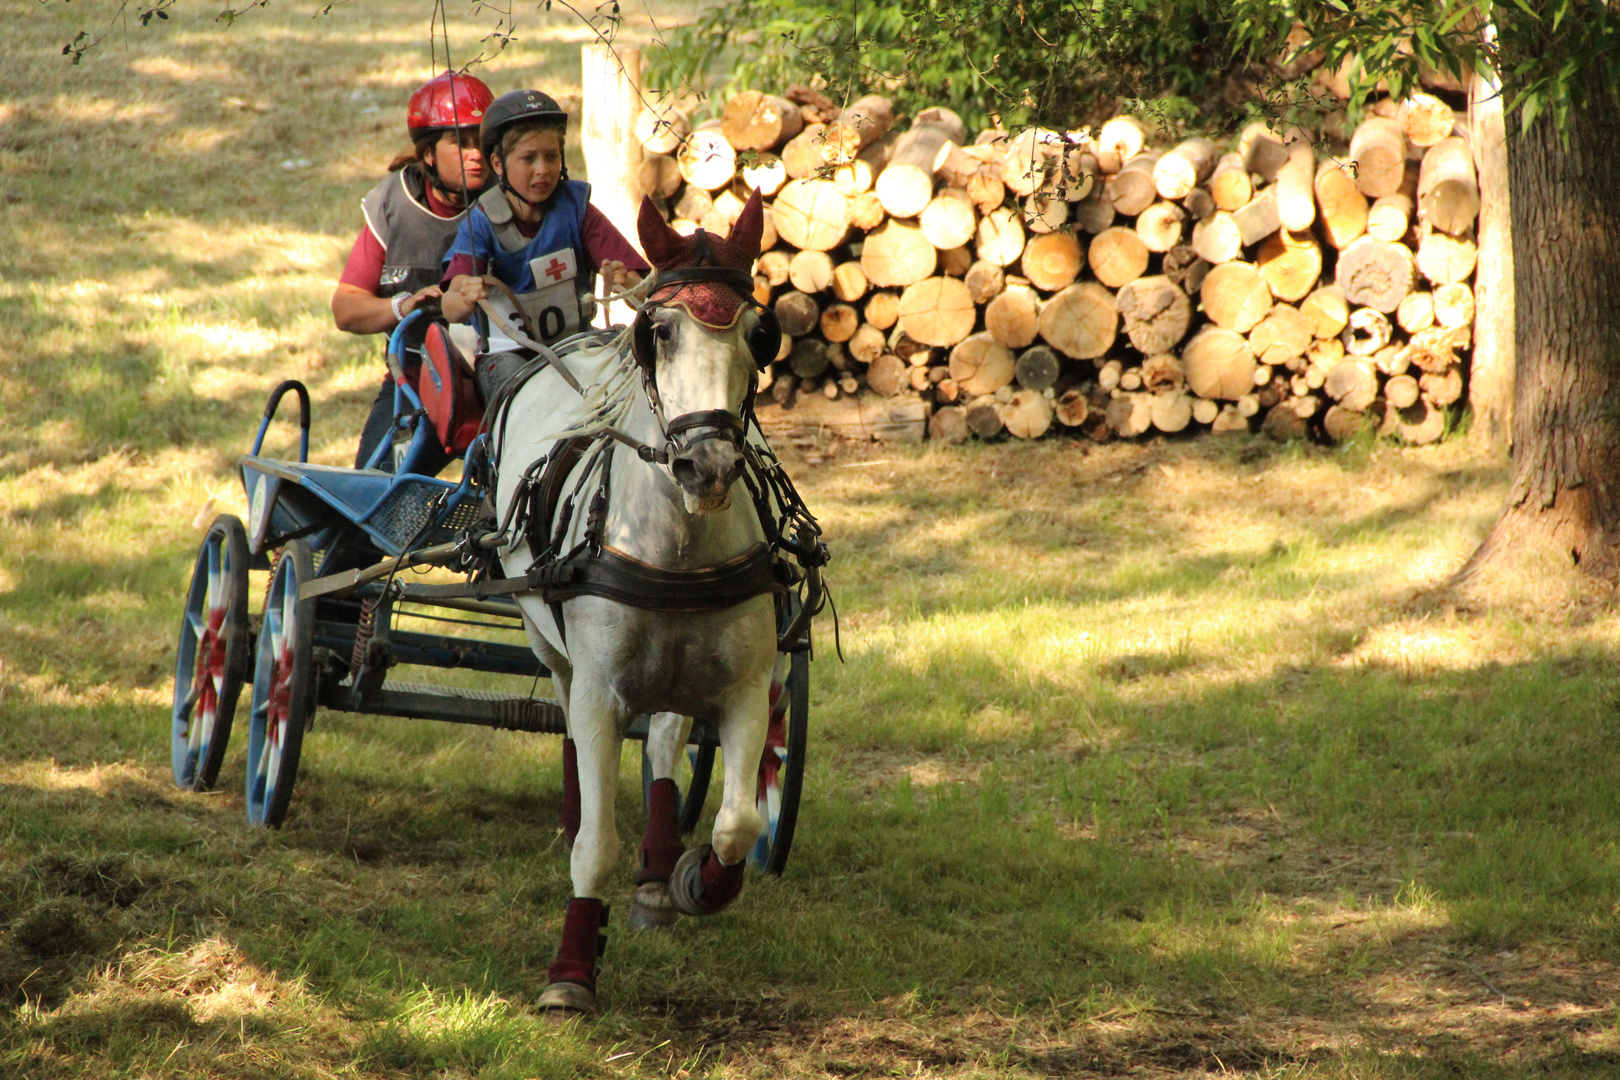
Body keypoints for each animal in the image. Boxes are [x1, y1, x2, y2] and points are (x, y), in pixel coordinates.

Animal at [489, 196, 787, 1016]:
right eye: (661, 333)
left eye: (761, 333)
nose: (706, 464)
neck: (675, 548)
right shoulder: (600, 692)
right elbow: (596, 847)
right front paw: (571, 972)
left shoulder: (746, 687)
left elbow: (738, 821)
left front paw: (695, 882)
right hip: (550, 643)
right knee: (566, 718)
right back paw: (571, 821)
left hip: (681, 674)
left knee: (663, 747)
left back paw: (657, 873)